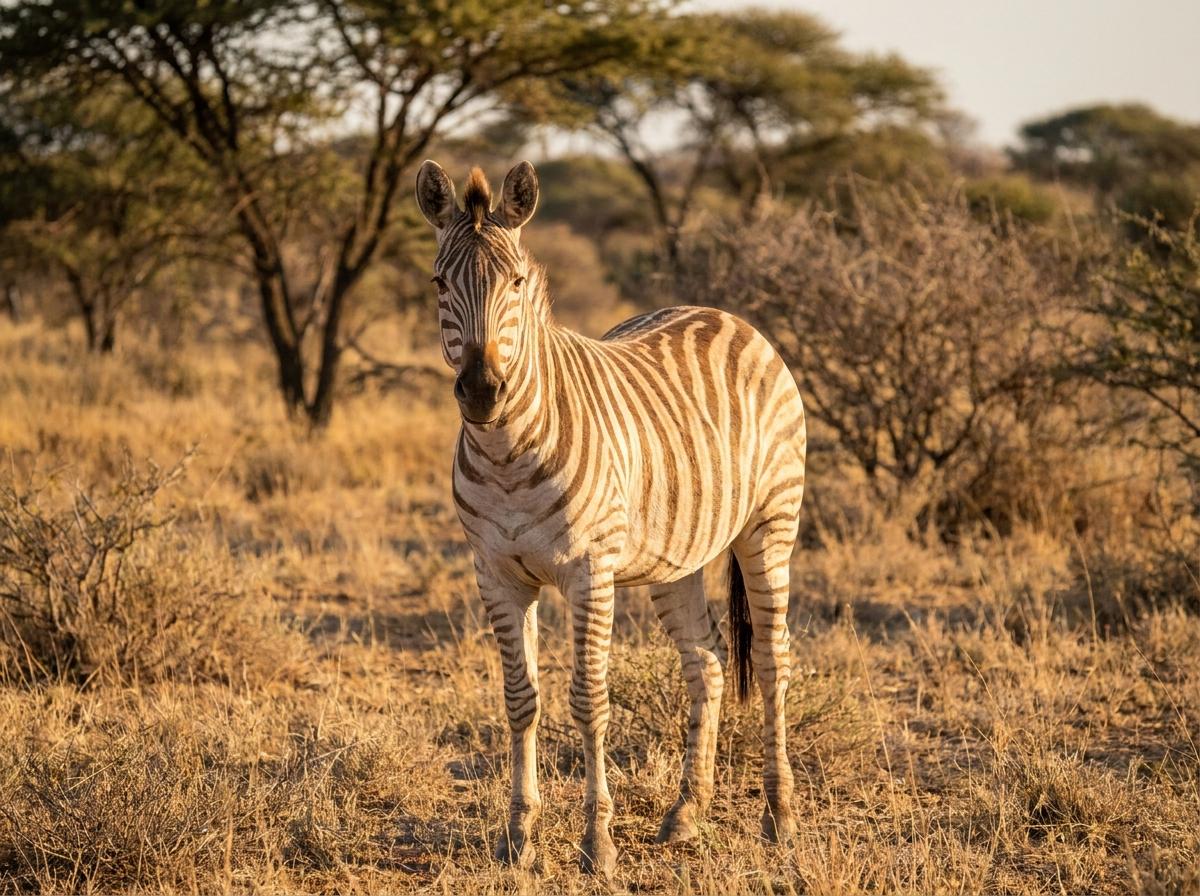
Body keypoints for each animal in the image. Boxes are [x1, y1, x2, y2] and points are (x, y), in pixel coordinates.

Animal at [415, 160, 807, 876]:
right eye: (438, 282)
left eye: (517, 282)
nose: (482, 393)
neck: (506, 452)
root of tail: (725, 314)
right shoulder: (496, 574)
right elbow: (520, 700)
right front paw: (517, 838)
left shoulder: (588, 571)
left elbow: (588, 701)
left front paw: (597, 843)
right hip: (677, 555)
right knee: (707, 660)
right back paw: (686, 813)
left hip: (771, 526)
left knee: (771, 659)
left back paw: (779, 816)